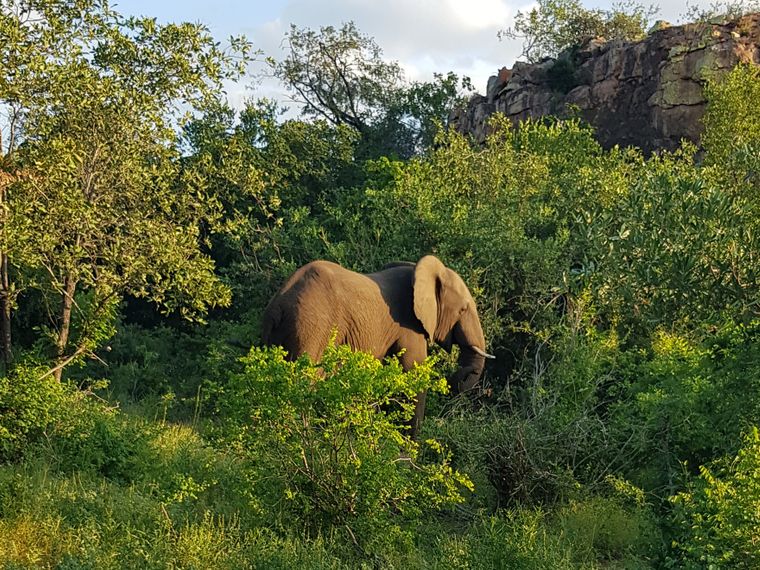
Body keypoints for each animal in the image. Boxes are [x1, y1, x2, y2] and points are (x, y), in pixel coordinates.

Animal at [261, 255, 494, 437]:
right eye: (463, 309)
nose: (458, 377)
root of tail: (278, 303)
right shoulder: (409, 324)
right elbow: (414, 374)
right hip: (312, 328)